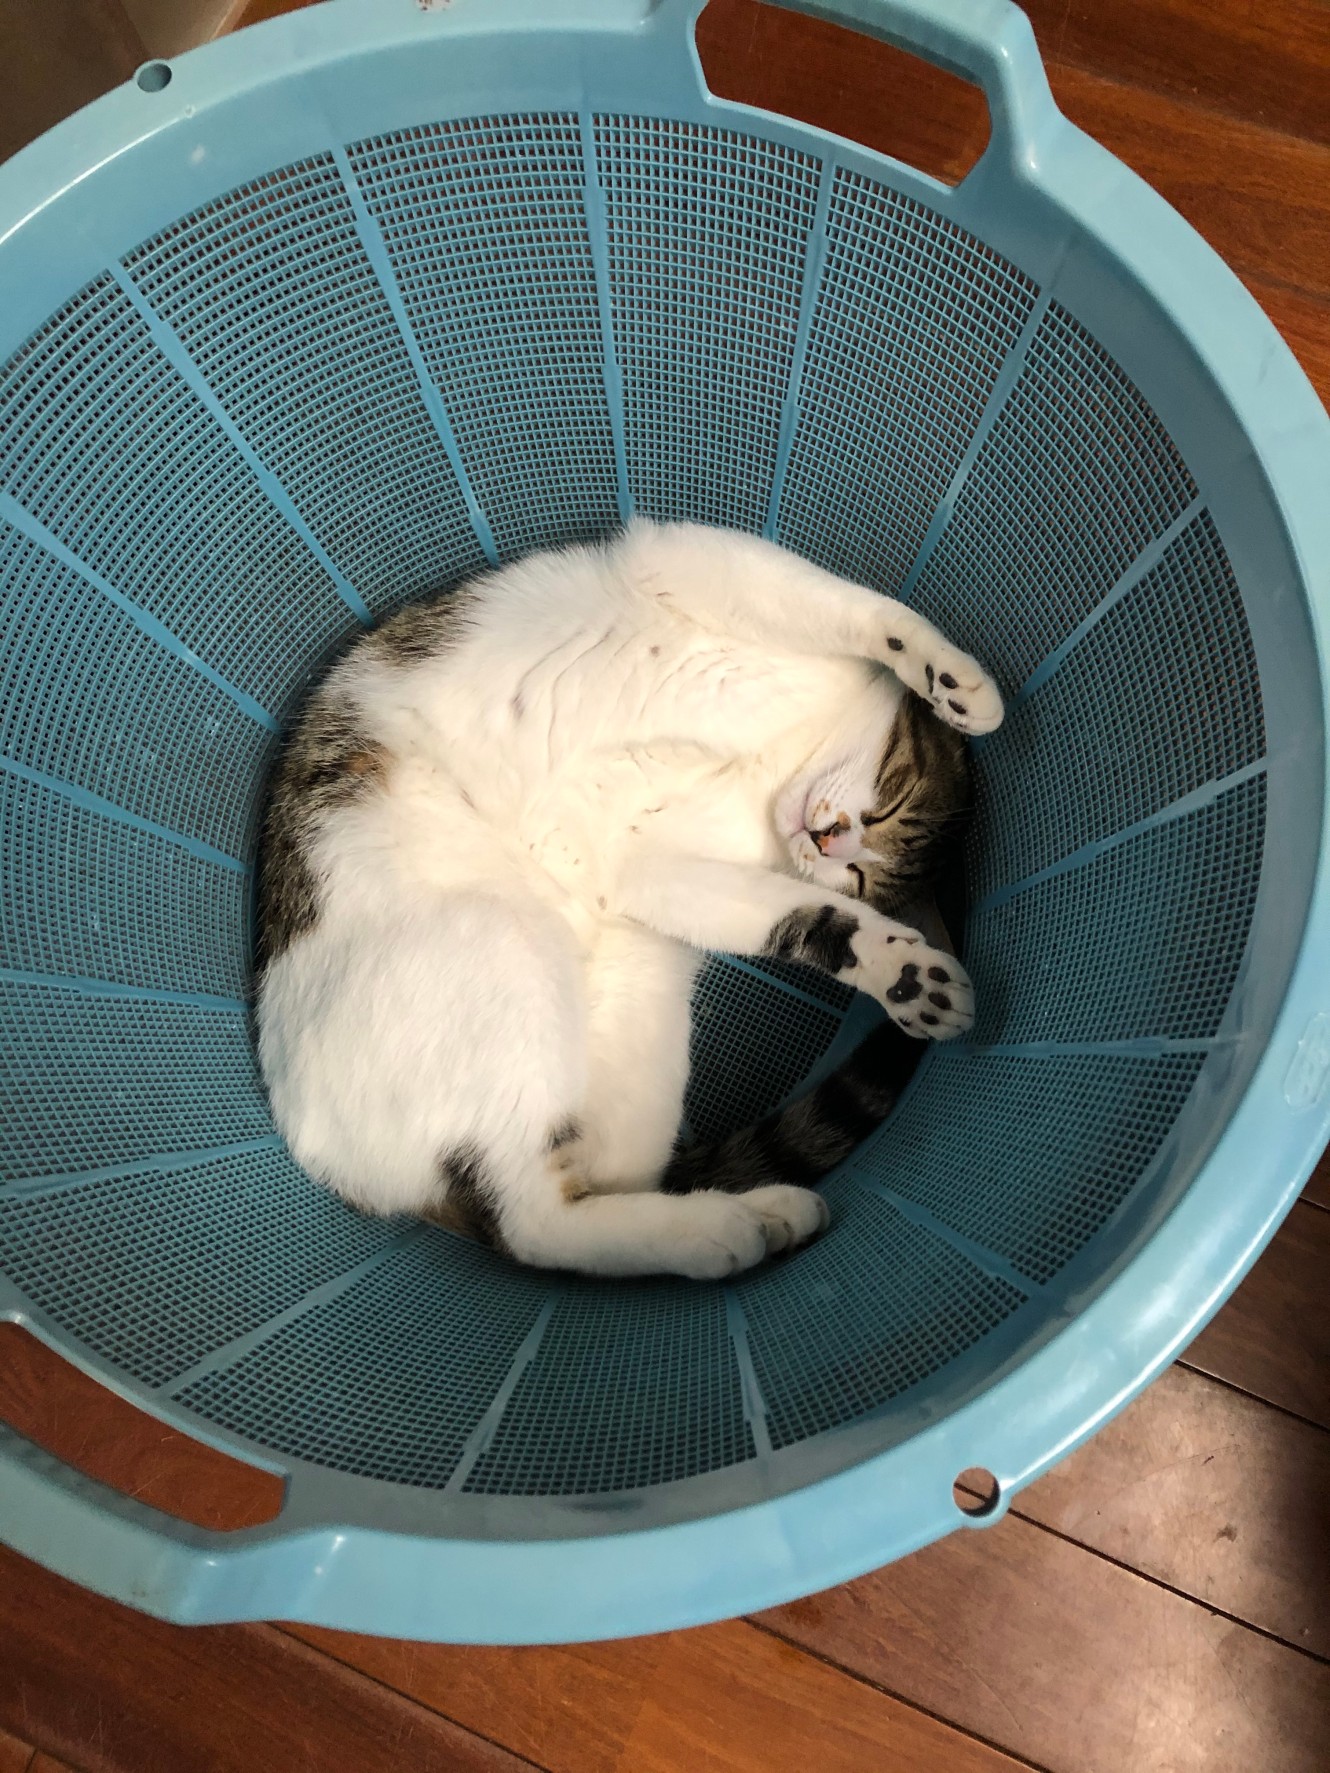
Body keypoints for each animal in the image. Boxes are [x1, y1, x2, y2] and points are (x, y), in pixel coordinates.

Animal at [255, 520, 1003, 1280]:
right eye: (891, 802)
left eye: (863, 878)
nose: (826, 842)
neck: (784, 761)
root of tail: (327, 1155)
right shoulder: (694, 562)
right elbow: (862, 611)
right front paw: (955, 681)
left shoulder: (660, 865)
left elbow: (799, 918)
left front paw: (901, 975)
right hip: (504, 946)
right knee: (529, 1224)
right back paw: (727, 1230)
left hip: (630, 1039)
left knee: (586, 1196)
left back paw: (753, 1217)